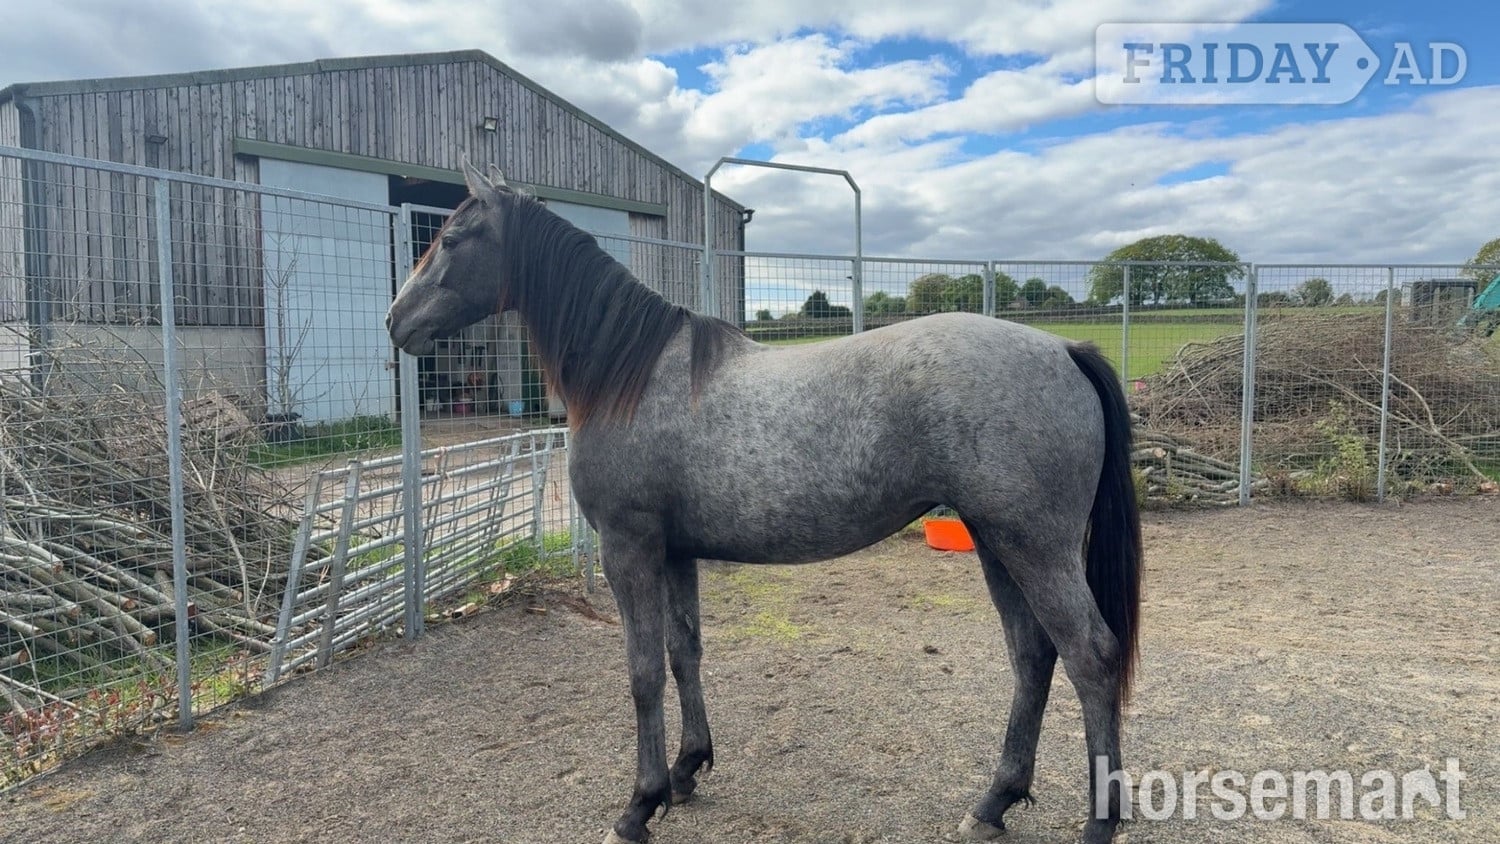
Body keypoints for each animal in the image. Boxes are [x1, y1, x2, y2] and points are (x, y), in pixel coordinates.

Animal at [386, 160, 1143, 844]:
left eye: (451, 238)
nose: (396, 322)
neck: (632, 376)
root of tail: (1065, 349)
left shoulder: (627, 549)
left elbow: (641, 673)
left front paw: (639, 806)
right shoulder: (674, 553)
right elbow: (683, 653)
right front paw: (686, 771)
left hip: (1035, 547)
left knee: (1091, 655)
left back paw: (1098, 822)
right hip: (996, 542)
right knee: (1033, 657)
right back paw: (993, 803)